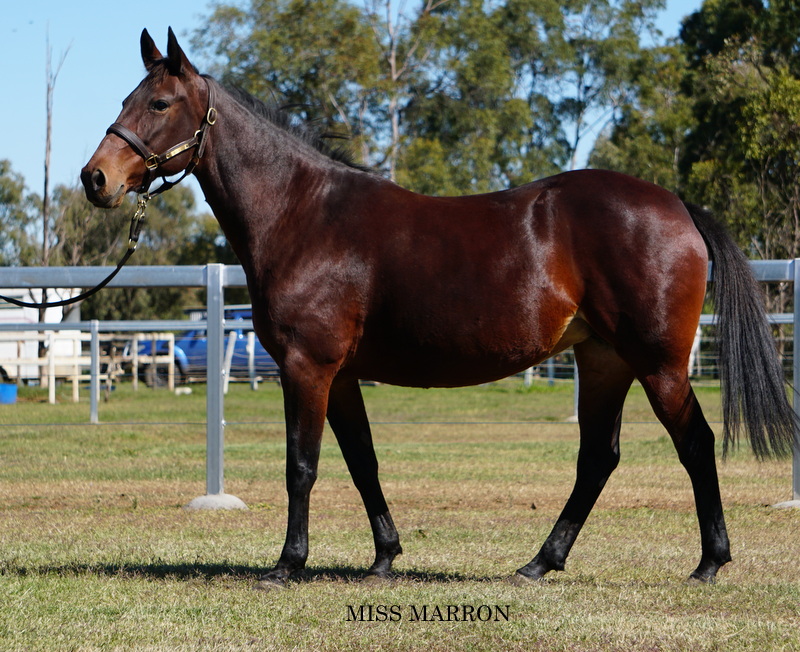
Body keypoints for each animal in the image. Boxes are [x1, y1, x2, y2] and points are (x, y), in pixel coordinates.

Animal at [81, 28, 796, 588]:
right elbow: (363, 462)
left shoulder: (307, 368)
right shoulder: (342, 375)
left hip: (659, 364)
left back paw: (708, 562)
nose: (96, 179)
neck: (304, 214)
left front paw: (287, 565)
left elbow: (302, 466)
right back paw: (540, 562)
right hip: (603, 362)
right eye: (123, 100)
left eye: (160, 102)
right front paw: (384, 557)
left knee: (695, 444)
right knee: (598, 458)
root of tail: (678, 206)